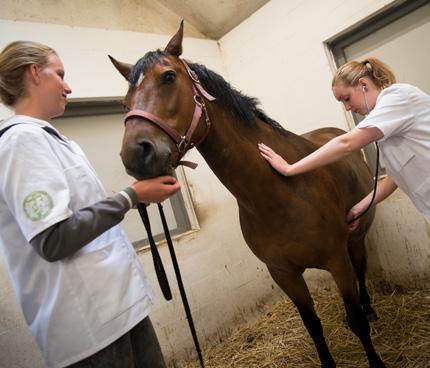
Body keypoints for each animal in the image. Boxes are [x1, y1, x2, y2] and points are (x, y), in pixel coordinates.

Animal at [109, 22, 384, 368]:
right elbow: (313, 325)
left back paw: (370, 308)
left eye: (168, 77)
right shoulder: (283, 274)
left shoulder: (336, 260)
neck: (278, 193)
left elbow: (357, 321)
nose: (135, 154)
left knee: (360, 273)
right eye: (125, 101)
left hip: (356, 241)